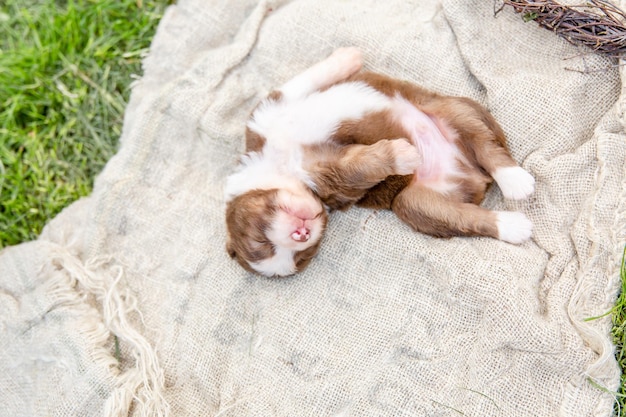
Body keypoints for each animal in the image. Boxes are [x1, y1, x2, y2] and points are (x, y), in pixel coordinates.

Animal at [223, 47, 532, 276]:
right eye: (299, 256)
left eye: (261, 243)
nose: (301, 234)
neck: (281, 163)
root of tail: (476, 179)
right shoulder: (335, 179)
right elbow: (362, 166)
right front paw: (403, 155)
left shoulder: (269, 110)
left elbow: (308, 77)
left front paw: (348, 57)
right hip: (415, 204)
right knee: (467, 217)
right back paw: (513, 224)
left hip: (450, 109)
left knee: (487, 147)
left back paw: (515, 180)